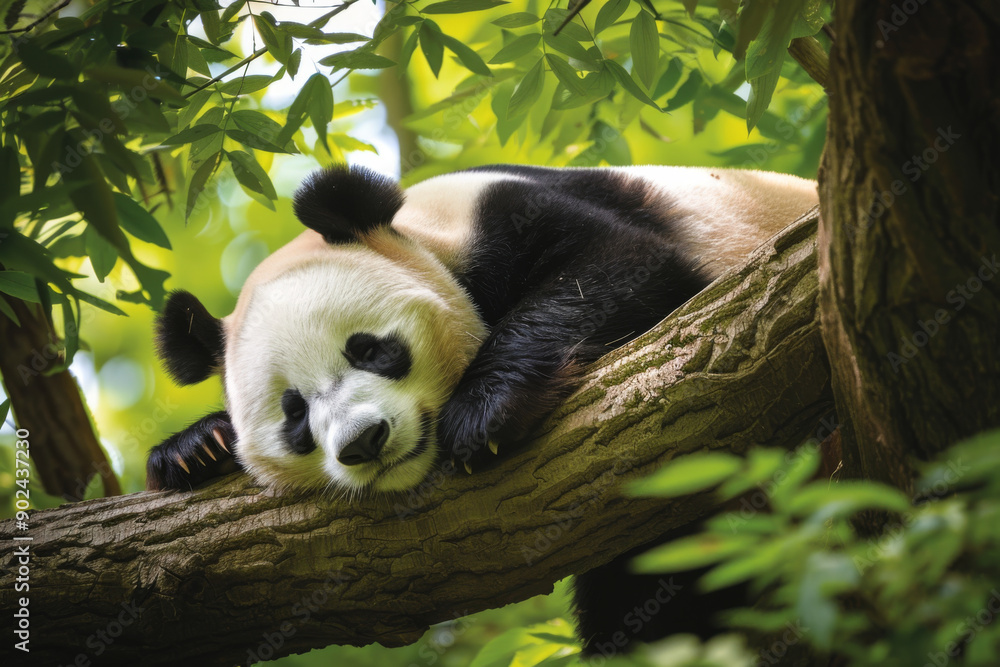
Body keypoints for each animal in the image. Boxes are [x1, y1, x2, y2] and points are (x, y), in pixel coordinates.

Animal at [146, 163, 818, 652]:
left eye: (370, 349)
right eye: (294, 414)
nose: (364, 441)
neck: (421, 234)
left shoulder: (503, 211)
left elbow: (620, 267)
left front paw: (482, 414)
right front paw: (194, 450)